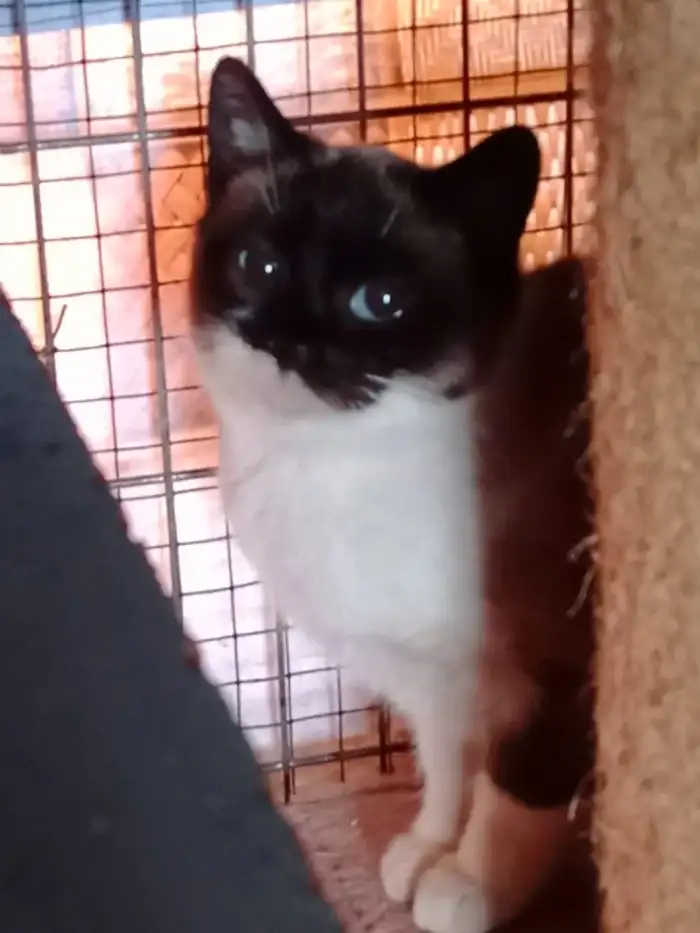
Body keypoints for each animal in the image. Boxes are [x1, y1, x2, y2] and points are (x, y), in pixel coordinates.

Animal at [189, 56, 595, 933]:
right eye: (261, 268)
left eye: (379, 302)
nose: (293, 341)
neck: (330, 468)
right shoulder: (431, 679)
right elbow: (446, 768)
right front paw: (428, 849)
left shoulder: (555, 667)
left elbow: (515, 793)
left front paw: (470, 885)